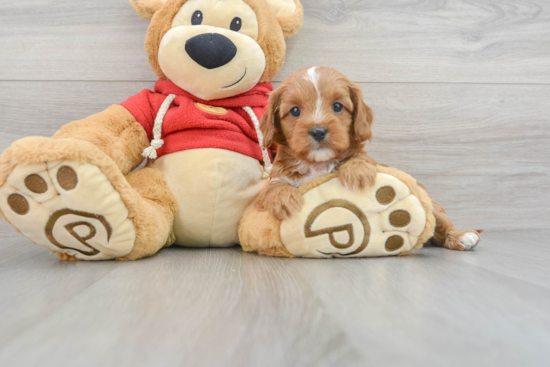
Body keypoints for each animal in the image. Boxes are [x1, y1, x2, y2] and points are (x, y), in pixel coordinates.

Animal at [258, 67, 380, 221]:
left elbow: (362, 157)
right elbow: (273, 186)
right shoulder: (275, 178)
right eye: (295, 110)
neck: (317, 164)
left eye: (337, 106)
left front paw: (357, 170)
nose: (318, 132)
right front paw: (283, 198)